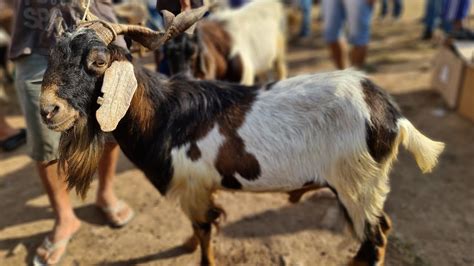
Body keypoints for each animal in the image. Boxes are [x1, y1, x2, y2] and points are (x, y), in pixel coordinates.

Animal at [39, 7, 442, 266]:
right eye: (50, 58)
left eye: (98, 61)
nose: (48, 110)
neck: (165, 115)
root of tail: (390, 113)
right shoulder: (201, 188)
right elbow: (197, 229)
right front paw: (185, 244)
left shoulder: (194, 188)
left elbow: (205, 233)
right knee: (379, 229)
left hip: (355, 184)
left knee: (375, 237)